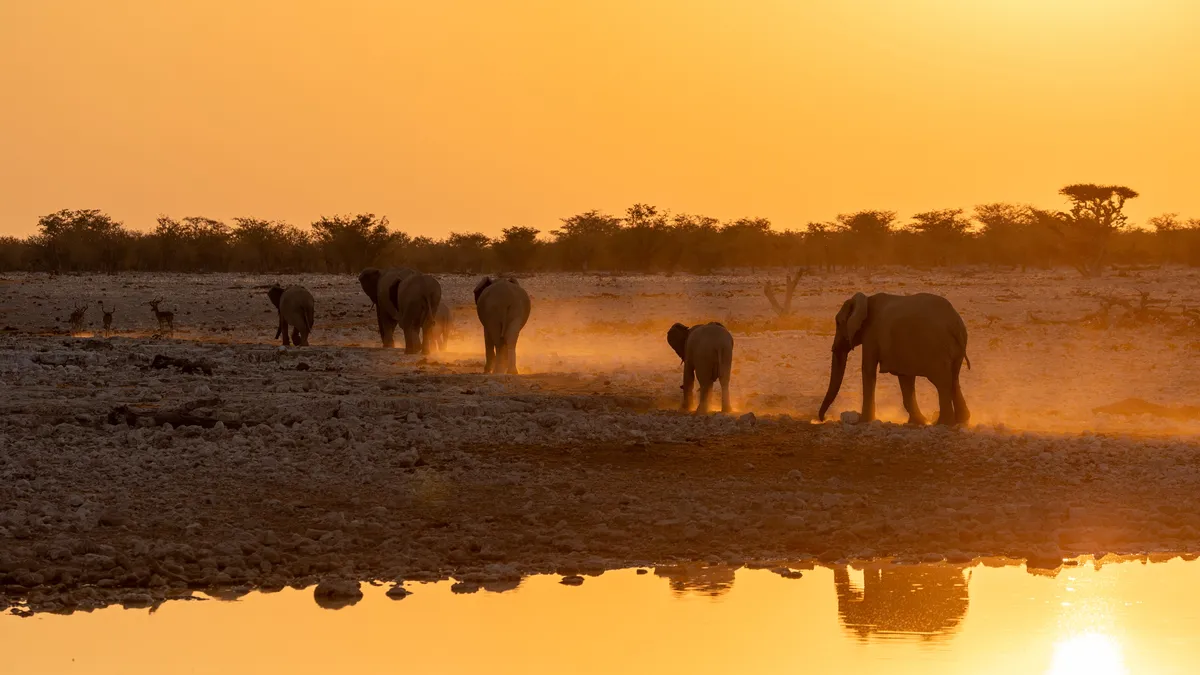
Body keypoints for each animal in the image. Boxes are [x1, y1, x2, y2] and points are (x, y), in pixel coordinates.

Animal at [817, 292, 970, 426]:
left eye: (838, 323)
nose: (823, 418)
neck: (866, 300)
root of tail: (954, 323)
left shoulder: (871, 334)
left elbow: (868, 369)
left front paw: (864, 421)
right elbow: (905, 378)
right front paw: (918, 422)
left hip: (937, 348)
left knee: (942, 382)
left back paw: (944, 423)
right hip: (954, 349)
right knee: (954, 379)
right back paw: (962, 421)